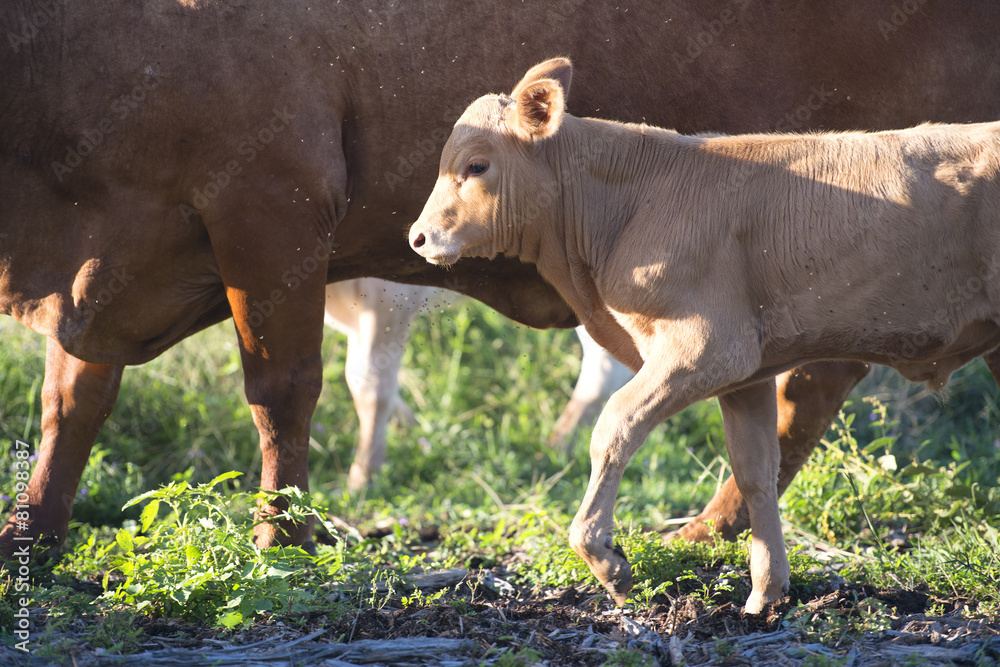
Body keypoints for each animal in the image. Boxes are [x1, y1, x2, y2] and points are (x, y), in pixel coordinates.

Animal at [0, 1, 996, 560]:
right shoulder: (107, 267)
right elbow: (71, 399)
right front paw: (33, 532)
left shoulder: (271, 212)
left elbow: (284, 392)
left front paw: (282, 534)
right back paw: (716, 536)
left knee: (800, 384)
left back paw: (703, 534)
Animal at [406, 60, 1000, 612]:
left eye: (477, 165)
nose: (418, 237)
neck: (626, 209)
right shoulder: (748, 375)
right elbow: (756, 469)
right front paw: (766, 595)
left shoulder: (707, 348)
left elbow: (614, 426)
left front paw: (607, 561)